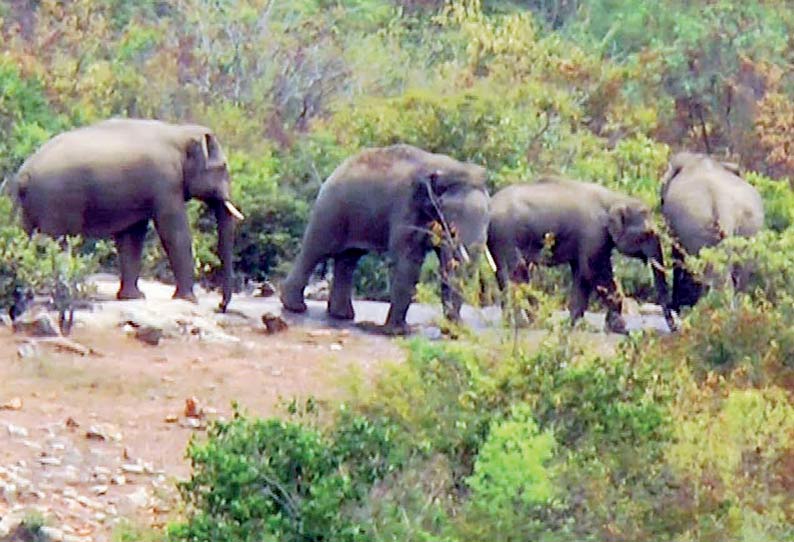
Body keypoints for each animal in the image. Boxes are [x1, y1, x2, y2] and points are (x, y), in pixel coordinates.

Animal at [11, 119, 241, 314]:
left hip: (29, 208)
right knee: (55, 242)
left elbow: (132, 237)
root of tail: (24, 175)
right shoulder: (166, 182)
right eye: (223, 167)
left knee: (27, 239)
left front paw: (133, 297)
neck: (180, 131)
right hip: (56, 201)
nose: (220, 306)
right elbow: (174, 232)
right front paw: (188, 300)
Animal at [278, 143, 488, 336]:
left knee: (349, 258)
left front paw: (455, 329)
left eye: (487, 222)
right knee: (318, 250)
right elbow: (408, 261)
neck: (449, 169)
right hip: (332, 209)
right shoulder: (406, 206)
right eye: (451, 220)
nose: (452, 331)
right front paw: (398, 331)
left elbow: (444, 265)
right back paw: (295, 307)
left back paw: (342, 315)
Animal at [482, 178, 676, 334]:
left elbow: (581, 273)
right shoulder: (594, 233)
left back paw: (517, 322)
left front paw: (574, 325)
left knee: (504, 274)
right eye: (648, 233)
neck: (615, 198)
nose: (675, 329)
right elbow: (594, 272)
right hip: (505, 234)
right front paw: (619, 328)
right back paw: (524, 324)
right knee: (515, 271)